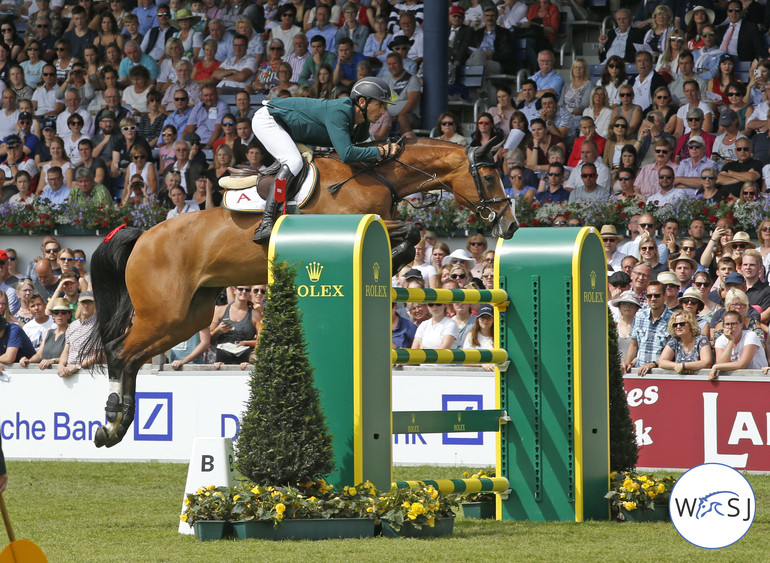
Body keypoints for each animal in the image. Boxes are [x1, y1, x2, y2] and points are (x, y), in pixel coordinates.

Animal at [85, 134, 516, 448]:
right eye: (489, 177)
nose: (510, 224)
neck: (375, 176)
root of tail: (142, 236)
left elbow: (413, 232)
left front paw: (398, 261)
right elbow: (410, 229)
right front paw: (394, 258)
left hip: (188, 317)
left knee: (132, 357)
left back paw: (117, 425)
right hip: (165, 312)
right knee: (119, 352)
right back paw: (112, 420)